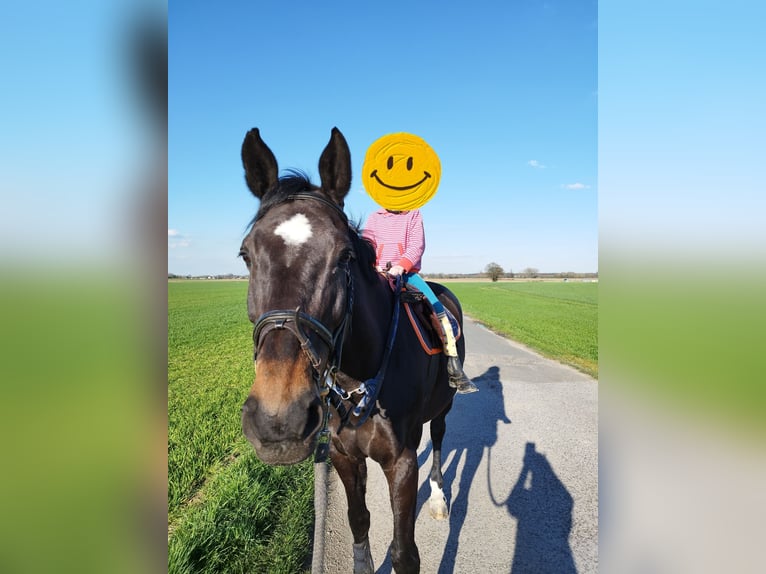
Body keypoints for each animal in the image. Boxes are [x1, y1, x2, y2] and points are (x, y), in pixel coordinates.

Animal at [239, 127, 467, 573]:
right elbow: (358, 519)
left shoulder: (402, 463)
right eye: (246, 255)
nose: (278, 420)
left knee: (439, 439)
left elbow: (404, 552)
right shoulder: (344, 455)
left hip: (444, 407)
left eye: (343, 256)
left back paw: (438, 499)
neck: (360, 380)